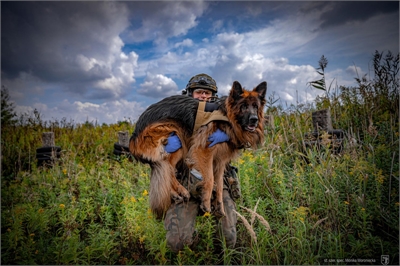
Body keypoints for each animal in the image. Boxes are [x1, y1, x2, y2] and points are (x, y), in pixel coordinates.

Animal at [130, 80, 266, 218]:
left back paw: (175, 193)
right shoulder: (203, 150)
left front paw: (220, 207)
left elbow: (220, 184)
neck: (226, 117)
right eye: (243, 106)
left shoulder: (220, 160)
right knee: (168, 168)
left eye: (255, 107)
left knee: (165, 173)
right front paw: (206, 203)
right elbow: (210, 179)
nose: (254, 120)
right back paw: (182, 191)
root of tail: (134, 136)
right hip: (177, 137)